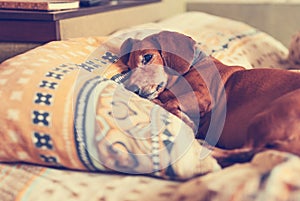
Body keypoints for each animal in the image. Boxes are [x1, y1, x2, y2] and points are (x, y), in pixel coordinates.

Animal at [119, 31, 300, 166]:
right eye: (129, 67)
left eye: (147, 57)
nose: (131, 88)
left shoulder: (203, 97)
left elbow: (171, 103)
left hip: (269, 115)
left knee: (244, 152)